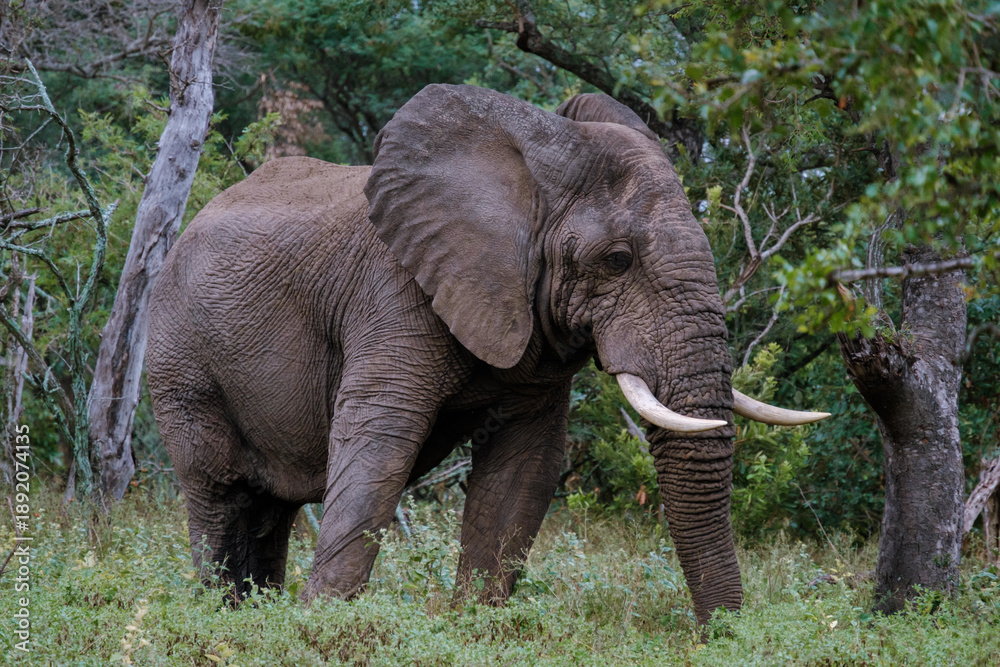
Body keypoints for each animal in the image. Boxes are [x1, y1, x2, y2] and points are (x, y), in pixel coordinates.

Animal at [146, 84, 828, 625]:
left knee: (271, 508)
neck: (529, 170)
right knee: (219, 491)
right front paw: (319, 626)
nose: (720, 635)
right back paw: (219, 614)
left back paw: (250, 613)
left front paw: (477, 626)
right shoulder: (394, 293)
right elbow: (379, 446)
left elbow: (525, 467)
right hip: (181, 364)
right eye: (617, 260)